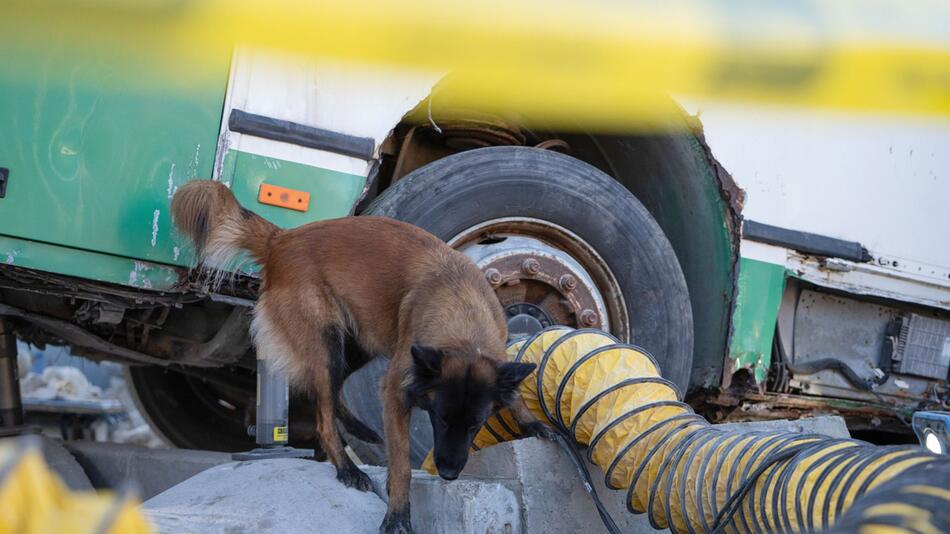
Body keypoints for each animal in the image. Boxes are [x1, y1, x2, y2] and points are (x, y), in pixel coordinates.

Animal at [167, 182, 548, 532]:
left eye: (476, 425)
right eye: (439, 421)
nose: (450, 474)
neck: (463, 314)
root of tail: (281, 239)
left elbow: (512, 390)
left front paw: (531, 421)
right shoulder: (396, 390)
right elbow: (402, 464)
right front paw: (397, 513)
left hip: (361, 342)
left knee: (332, 391)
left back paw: (360, 429)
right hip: (327, 344)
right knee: (323, 413)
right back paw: (347, 468)